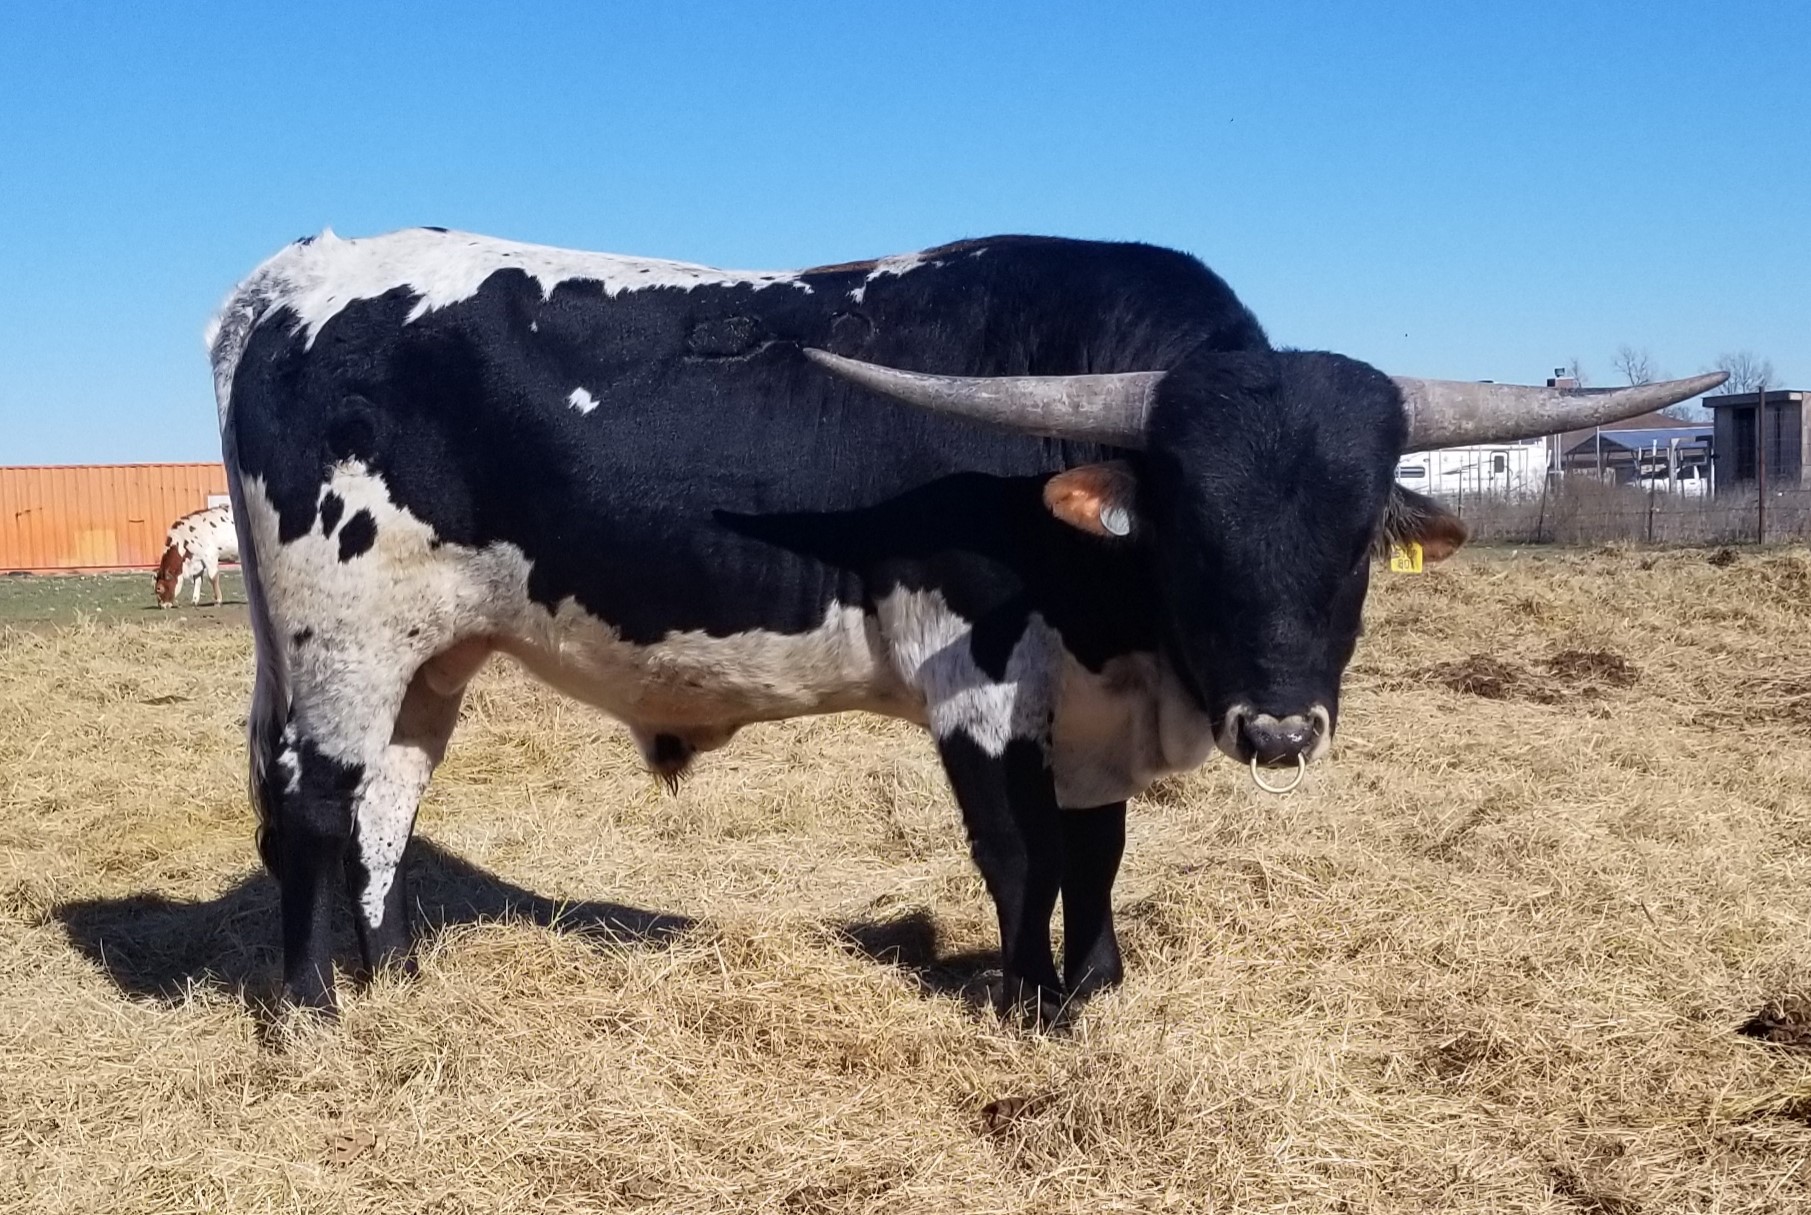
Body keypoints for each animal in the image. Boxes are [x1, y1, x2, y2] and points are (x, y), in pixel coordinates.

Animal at [207, 227, 1722, 1016]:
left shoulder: (1095, 708)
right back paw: (314, 1008)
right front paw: (1022, 998)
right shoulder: (981, 693)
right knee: (316, 809)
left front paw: (1096, 985)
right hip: (341, 636)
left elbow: (1097, 852)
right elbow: (1022, 858)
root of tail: (294, 276)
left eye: (1354, 536)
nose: (1282, 729)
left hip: (426, 657)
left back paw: (391, 981)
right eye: (1192, 522)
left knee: (385, 806)